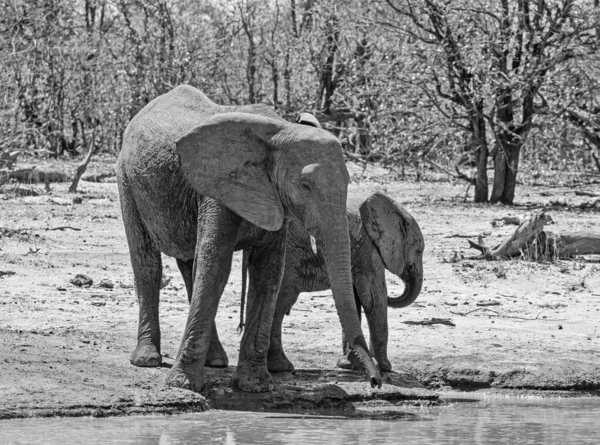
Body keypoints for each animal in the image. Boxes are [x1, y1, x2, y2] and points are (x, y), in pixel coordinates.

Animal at [116, 86, 380, 392]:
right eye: (305, 186)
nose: (375, 382)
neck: (281, 131)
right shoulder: (218, 189)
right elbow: (216, 265)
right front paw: (183, 385)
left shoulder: (274, 200)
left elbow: (268, 272)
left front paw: (255, 386)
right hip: (127, 180)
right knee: (147, 263)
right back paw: (147, 359)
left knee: (189, 265)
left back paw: (216, 361)